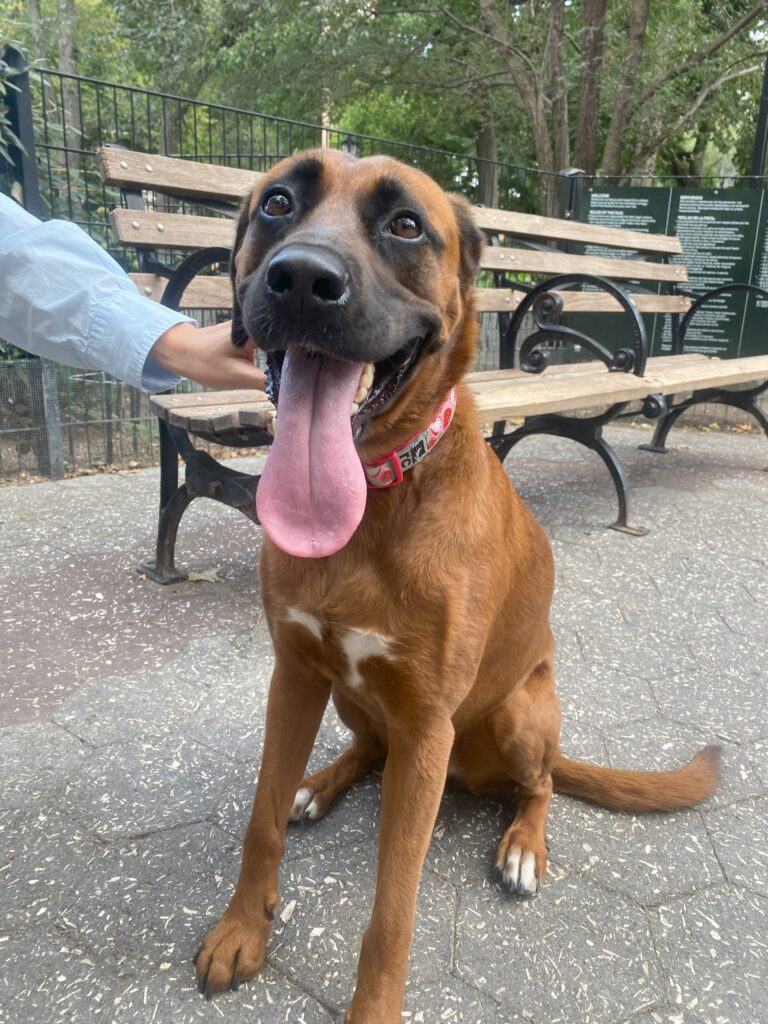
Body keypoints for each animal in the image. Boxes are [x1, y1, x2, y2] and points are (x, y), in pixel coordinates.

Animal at [193, 148, 720, 1019]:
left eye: (407, 224)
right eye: (276, 203)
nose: (300, 279)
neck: (372, 500)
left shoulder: (427, 725)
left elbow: (392, 910)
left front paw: (373, 1007)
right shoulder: (293, 676)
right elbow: (260, 819)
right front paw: (243, 928)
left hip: (514, 714)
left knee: (539, 786)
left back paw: (523, 845)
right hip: (349, 699)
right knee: (366, 748)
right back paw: (320, 783)